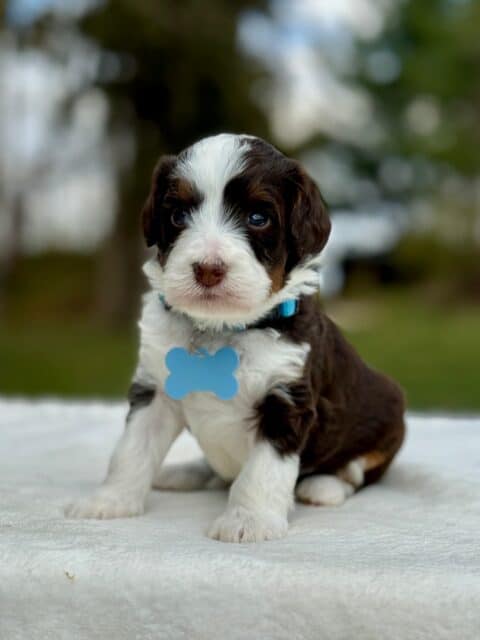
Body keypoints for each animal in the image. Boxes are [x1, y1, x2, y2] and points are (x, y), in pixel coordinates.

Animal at [65, 132, 404, 544]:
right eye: (178, 216)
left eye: (258, 218)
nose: (208, 270)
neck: (220, 328)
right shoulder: (155, 390)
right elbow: (131, 449)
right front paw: (109, 500)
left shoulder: (285, 401)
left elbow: (262, 471)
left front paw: (249, 521)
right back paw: (185, 472)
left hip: (389, 411)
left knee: (357, 471)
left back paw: (323, 486)